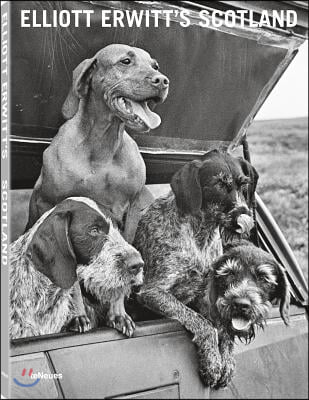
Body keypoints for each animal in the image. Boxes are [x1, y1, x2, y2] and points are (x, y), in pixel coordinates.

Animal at [25, 43, 170, 244]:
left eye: (155, 66)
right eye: (125, 61)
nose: (163, 80)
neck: (103, 143)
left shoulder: (134, 206)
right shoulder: (47, 201)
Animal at [132, 148, 258, 386]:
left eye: (243, 184)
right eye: (219, 184)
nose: (245, 216)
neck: (201, 234)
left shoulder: (207, 295)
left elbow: (223, 328)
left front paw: (226, 360)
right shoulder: (153, 292)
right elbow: (202, 323)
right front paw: (212, 363)